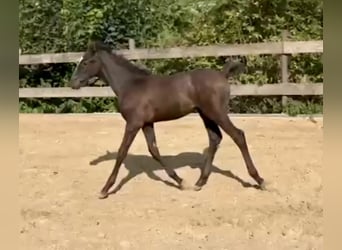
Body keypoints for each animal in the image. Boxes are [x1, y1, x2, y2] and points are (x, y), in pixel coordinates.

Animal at [69, 40, 264, 199]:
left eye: (85, 62)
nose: (73, 83)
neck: (130, 85)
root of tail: (222, 75)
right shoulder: (147, 123)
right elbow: (154, 150)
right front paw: (180, 181)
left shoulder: (133, 124)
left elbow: (122, 152)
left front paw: (104, 189)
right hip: (205, 114)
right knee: (215, 138)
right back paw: (199, 182)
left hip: (217, 113)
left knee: (238, 135)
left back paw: (259, 180)